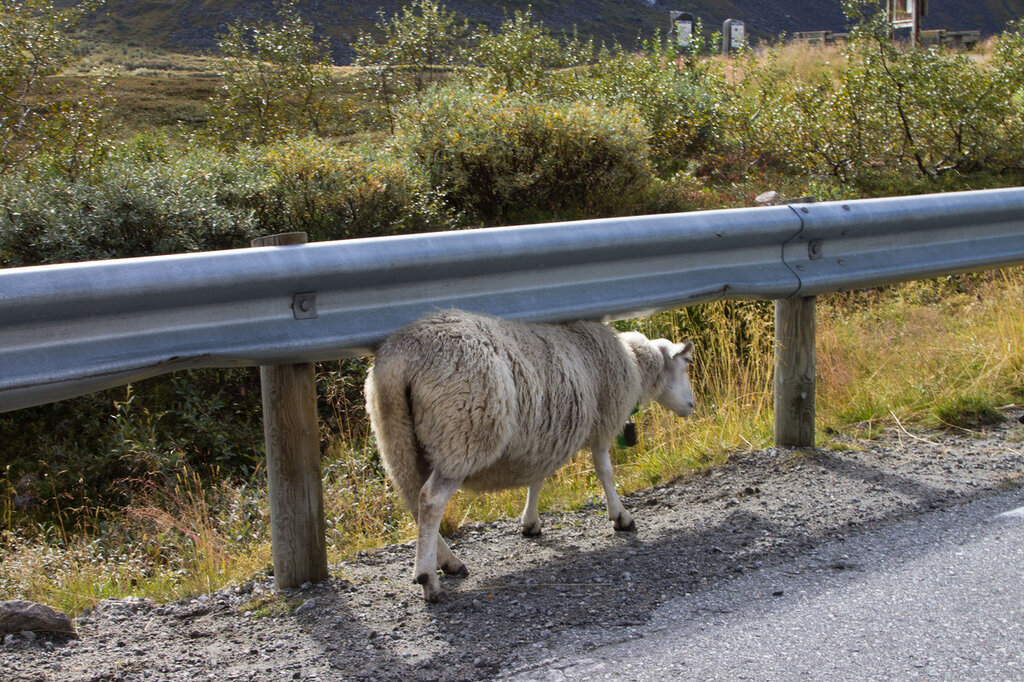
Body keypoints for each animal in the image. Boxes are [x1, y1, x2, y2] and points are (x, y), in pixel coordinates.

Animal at [364, 309, 695, 602]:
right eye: (686, 365)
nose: (691, 406)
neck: (634, 362)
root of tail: (403, 356)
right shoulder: (601, 421)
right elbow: (605, 471)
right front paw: (621, 516)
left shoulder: (547, 432)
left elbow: (538, 478)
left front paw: (530, 523)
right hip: (462, 434)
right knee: (431, 501)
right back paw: (428, 579)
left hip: (396, 438)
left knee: (413, 499)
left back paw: (448, 562)